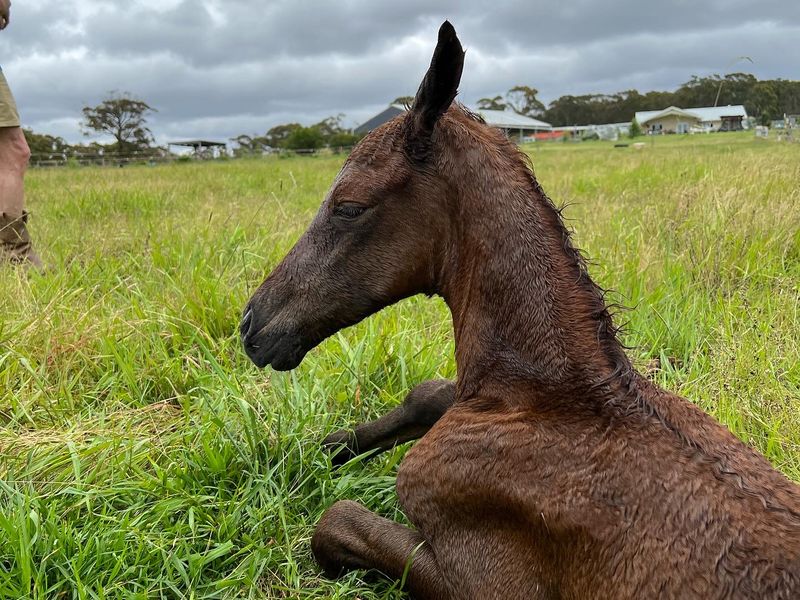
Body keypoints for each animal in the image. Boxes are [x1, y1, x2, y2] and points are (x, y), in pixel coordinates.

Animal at [240, 21, 800, 599]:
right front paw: (327, 445)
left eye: (349, 206)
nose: (252, 325)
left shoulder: (486, 582)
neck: (548, 397)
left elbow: (336, 520)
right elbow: (427, 393)